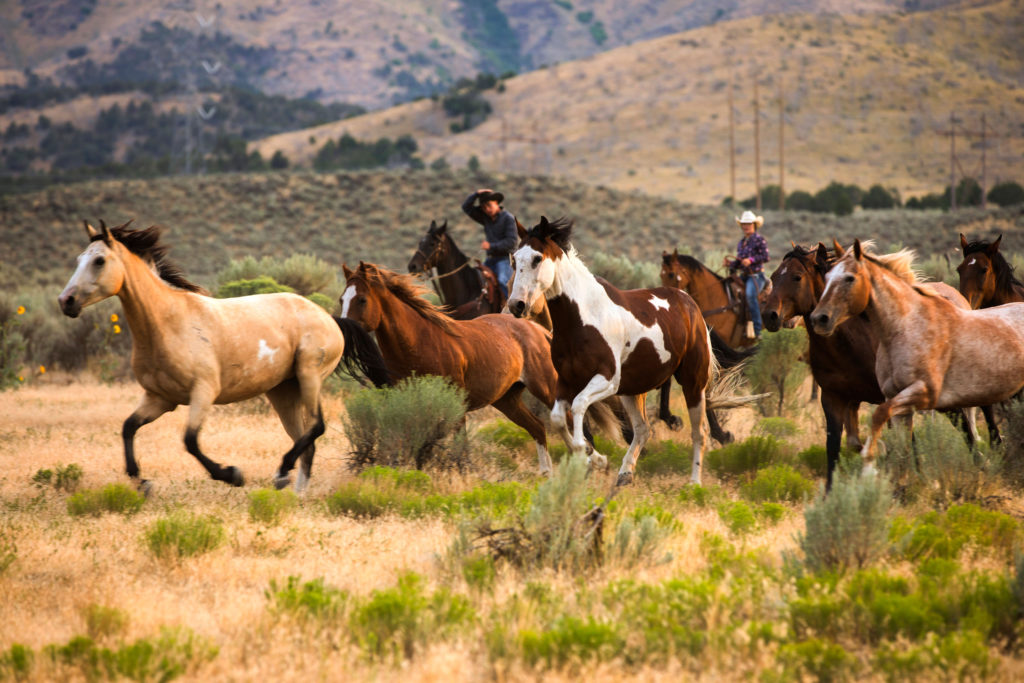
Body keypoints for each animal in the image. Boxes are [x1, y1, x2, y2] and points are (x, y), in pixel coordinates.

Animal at [58, 219, 389, 491]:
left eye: (99, 260)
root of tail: (330, 319)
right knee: (305, 441)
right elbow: (128, 428)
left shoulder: (203, 391)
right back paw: (294, 489)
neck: (168, 323)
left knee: (317, 427)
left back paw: (281, 472)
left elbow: (190, 441)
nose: (66, 301)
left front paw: (231, 474)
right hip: (283, 391)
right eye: (79, 259)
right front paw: (142, 482)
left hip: (309, 375)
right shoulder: (160, 398)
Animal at [337, 262, 614, 475]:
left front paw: (461, 472)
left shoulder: (455, 402)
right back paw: (548, 473)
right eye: (342, 299)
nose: (345, 333)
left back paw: (594, 461)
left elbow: (459, 441)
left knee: (569, 423)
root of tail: (538, 330)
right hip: (507, 400)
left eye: (361, 299)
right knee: (537, 426)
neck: (419, 342)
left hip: (545, 389)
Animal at [806, 237, 1024, 462]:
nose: (819, 318)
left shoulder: (924, 393)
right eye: (827, 276)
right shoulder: (888, 397)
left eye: (849, 278)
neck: (905, 327)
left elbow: (883, 420)